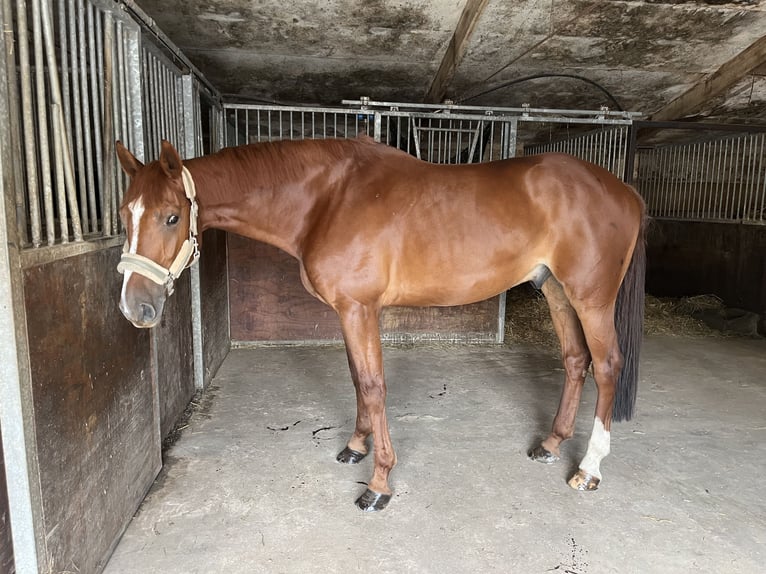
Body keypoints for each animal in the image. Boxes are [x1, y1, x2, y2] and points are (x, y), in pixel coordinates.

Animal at [117, 137, 648, 516]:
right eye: (125, 214)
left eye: (172, 217)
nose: (134, 308)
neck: (326, 200)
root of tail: (624, 189)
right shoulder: (348, 311)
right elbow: (357, 379)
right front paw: (355, 446)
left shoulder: (359, 309)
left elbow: (374, 386)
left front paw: (378, 483)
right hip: (555, 290)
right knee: (575, 360)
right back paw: (551, 443)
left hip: (592, 299)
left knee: (606, 366)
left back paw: (589, 469)